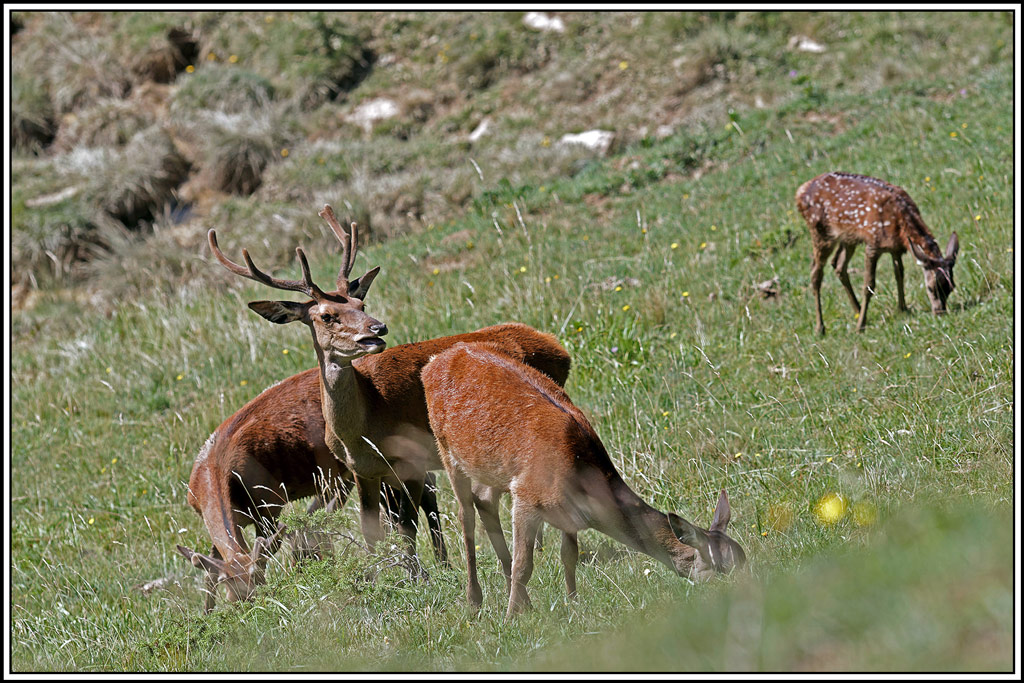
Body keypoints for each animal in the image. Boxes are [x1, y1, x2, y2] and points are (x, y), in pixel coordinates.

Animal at [205, 205, 573, 585]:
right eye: (327, 315)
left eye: (361, 301)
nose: (377, 330)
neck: (364, 426)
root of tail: (558, 348)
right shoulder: (363, 472)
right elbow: (373, 530)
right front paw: (379, 576)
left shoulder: (410, 460)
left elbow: (407, 526)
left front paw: (416, 579)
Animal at [422, 342, 746, 619]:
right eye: (722, 568)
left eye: (743, 560)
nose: (745, 596)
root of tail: (435, 360)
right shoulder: (527, 495)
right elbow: (524, 565)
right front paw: (511, 618)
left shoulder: (567, 515)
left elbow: (569, 556)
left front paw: (573, 603)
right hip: (446, 448)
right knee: (465, 518)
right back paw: (475, 600)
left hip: (492, 469)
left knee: (484, 498)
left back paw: (519, 598)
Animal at [796, 172, 960, 335]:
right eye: (931, 288)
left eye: (951, 287)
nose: (940, 312)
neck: (899, 222)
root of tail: (800, 191)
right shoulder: (873, 244)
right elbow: (868, 285)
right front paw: (860, 327)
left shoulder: (895, 248)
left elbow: (899, 275)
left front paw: (903, 309)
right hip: (820, 232)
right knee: (816, 273)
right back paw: (820, 328)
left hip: (848, 237)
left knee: (838, 265)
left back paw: (857, 310)